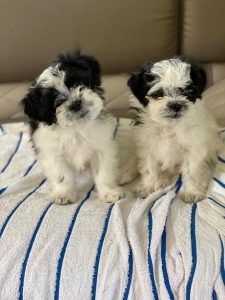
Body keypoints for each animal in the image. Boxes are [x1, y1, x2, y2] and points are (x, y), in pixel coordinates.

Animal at [22, 52, 125, 205]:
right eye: (56, 101)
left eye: (77, 83)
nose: (75, 103)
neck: (76, 128)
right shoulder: (52, 152)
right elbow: (60, 174)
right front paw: (63, 193)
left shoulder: (101, 147)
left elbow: (103, 172)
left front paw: (109, 192)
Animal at [127, 57, 221, 203]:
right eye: (158, 94)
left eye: (188, 92)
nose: (175, 105)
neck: (169, 126)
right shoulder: (147, 147)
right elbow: (148, 168)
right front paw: (147, 187)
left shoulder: (193, 147)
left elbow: (191, 170)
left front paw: (192, 191)